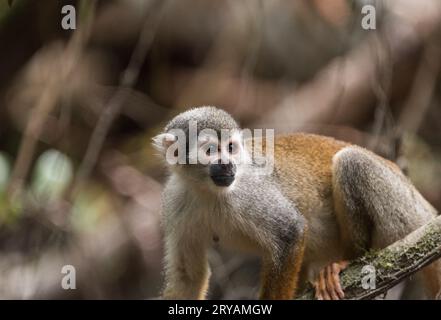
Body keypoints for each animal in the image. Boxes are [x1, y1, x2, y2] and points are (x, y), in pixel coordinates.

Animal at [152, 106, 440, 298]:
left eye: (231, 148)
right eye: (211, 151)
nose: (228, 165)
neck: (207, 190)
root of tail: (426, 209)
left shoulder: (248, 190)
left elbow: (290, 232)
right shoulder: (175, 200)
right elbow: (187, 275)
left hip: (401, 208)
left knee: (351, 161)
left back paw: (349, 260)